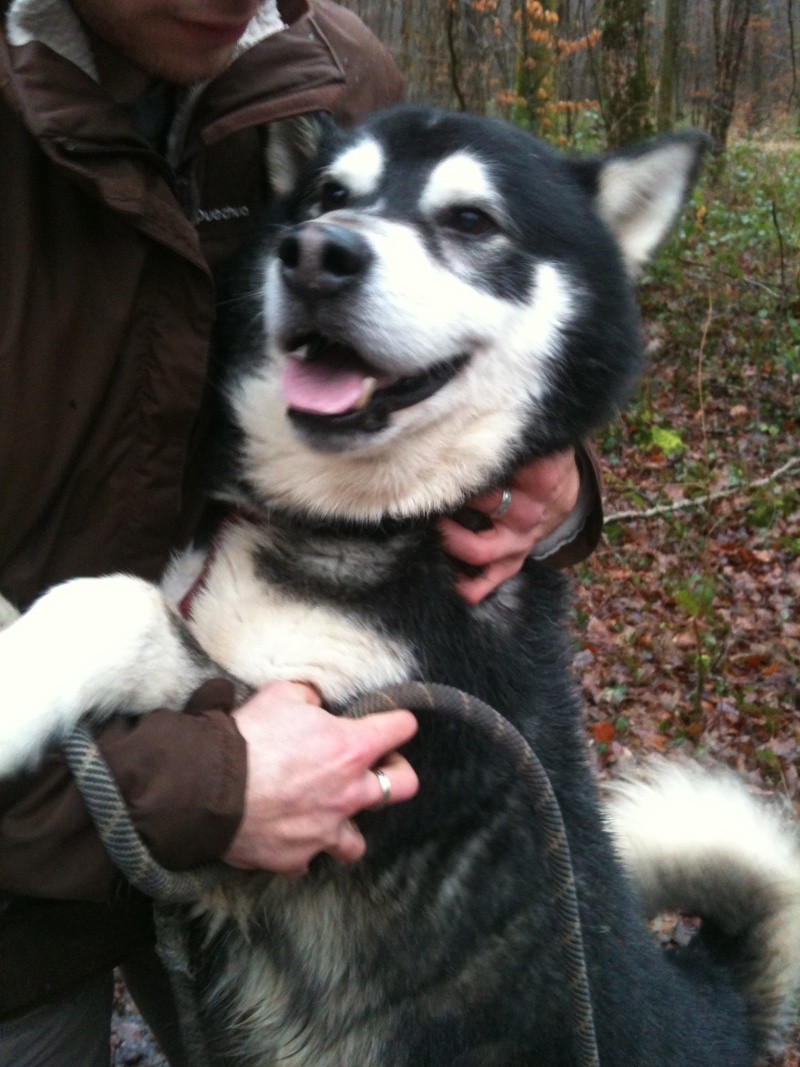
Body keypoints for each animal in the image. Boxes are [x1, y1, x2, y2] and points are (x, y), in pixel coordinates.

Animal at [1, 110, 800, 1067]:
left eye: (471, 220)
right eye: (329, 195)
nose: (316, 253)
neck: (360, 525)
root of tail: (717, 1007)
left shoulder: (330, 760)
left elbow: (117, 604)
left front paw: (12, 689)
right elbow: (120, 599)